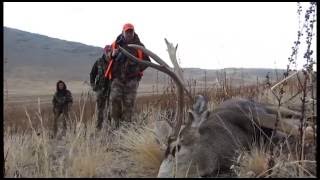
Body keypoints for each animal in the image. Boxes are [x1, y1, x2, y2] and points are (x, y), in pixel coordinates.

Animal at [118, 39, 316, 177]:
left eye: (176, 149)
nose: (161, 176)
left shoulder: (249, 114)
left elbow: (303, 130)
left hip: (268, 107)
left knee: (299, 113)